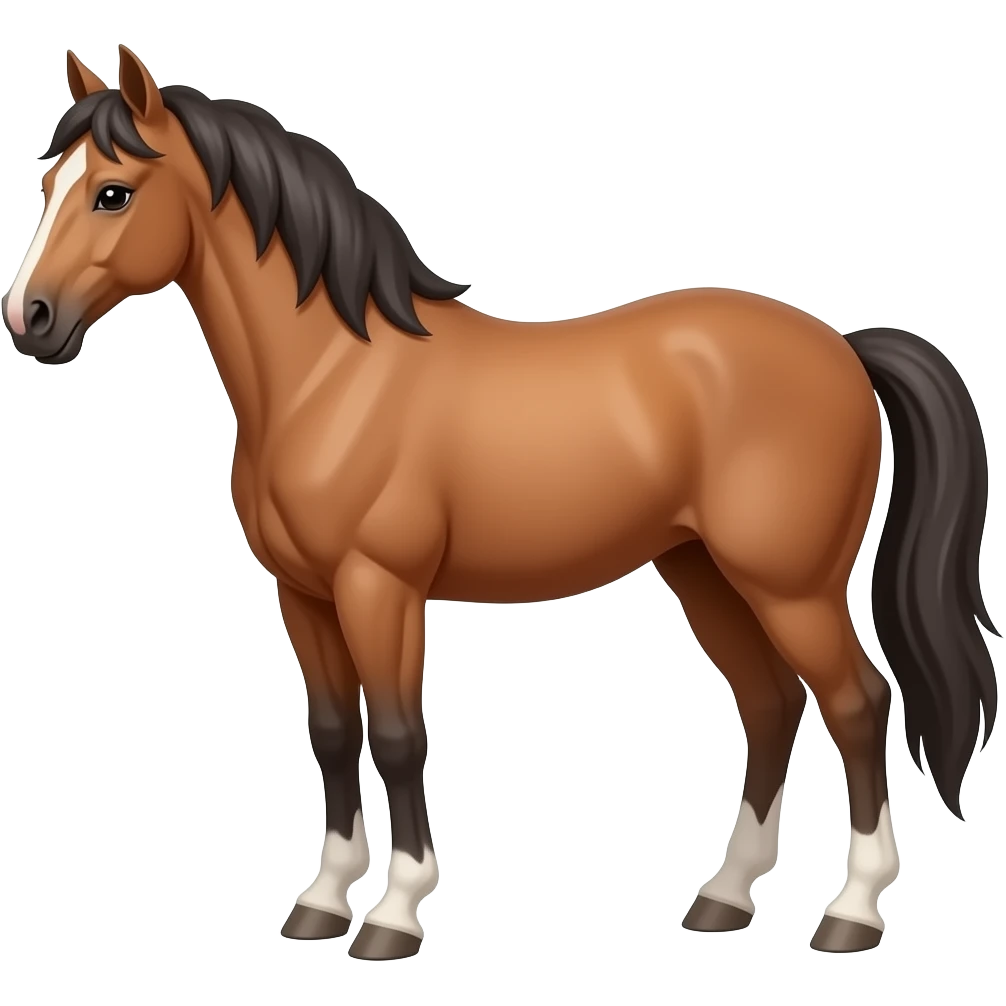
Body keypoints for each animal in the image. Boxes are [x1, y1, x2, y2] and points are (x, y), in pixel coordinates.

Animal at [2, 46, 996, 959]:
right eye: (49, 182)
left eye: (114, 194)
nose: (31, 320)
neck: (332, 376)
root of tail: (842, 347)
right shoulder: (304, 592)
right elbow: (332, 732)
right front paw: (320, 903)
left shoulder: (380, 586)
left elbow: (398, 735)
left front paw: (394, 915)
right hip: (703, 572)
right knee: (770, 703)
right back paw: (723, 897)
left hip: (790, 585)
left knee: (857, 702)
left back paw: (851, 912)